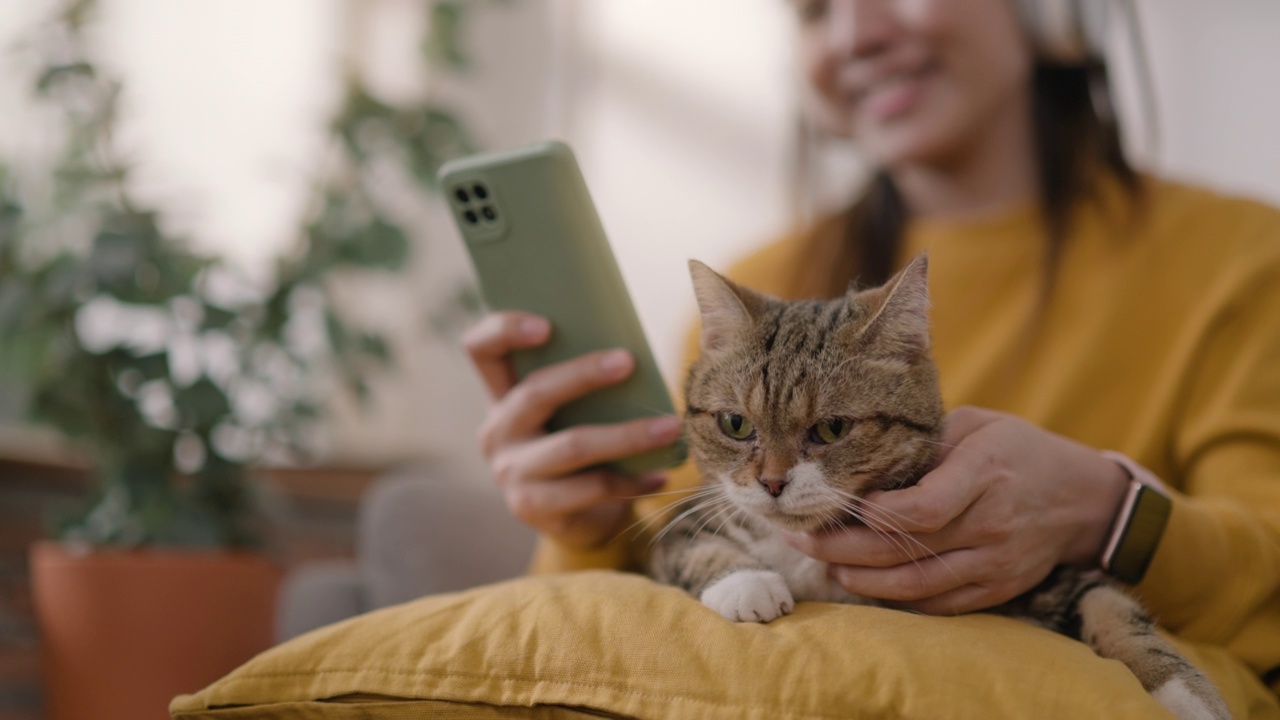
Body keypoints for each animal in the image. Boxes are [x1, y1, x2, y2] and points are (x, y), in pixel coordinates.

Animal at [650, 256, 1228, 717]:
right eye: (735, 425)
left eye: (832, 429)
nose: (771, 481)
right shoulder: (680, 525)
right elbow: (694, 548)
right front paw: (746, 583)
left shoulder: (1061, 575)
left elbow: (1117, 613)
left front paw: (1186, 695)